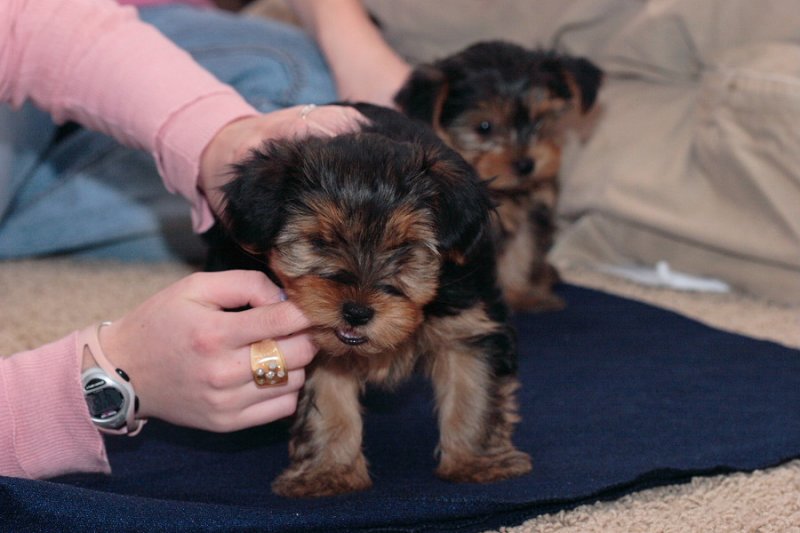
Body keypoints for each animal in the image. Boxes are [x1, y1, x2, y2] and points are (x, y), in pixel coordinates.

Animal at [209, 102, 532, 496]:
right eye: (321, 241)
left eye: (404, 247)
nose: (357, 312)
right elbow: (328, 402)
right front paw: (330, 472)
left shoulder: (470, 320)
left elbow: (474, 389)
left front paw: (478, 462)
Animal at [394, 41, 600, 312]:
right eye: (484, 127)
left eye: (539, 119)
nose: (526, 164)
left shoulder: (528, 217)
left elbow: (520, 252)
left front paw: (520, 294)